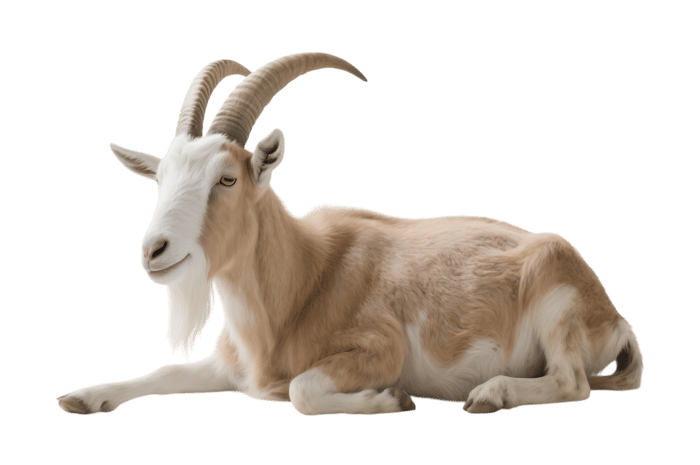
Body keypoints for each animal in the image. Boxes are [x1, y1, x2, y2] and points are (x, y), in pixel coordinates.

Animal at [57, 52, 643, 416]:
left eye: (227, 178)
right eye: (162, 180)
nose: (155, 251)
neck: (303, 277)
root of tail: (611, 315)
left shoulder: (380, 348)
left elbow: (300, 389)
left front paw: (393, 400)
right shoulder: (229, 366)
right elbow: (161, 372)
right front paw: (86, 396)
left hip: (556, 302)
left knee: (572, 383)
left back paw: (491, 394)